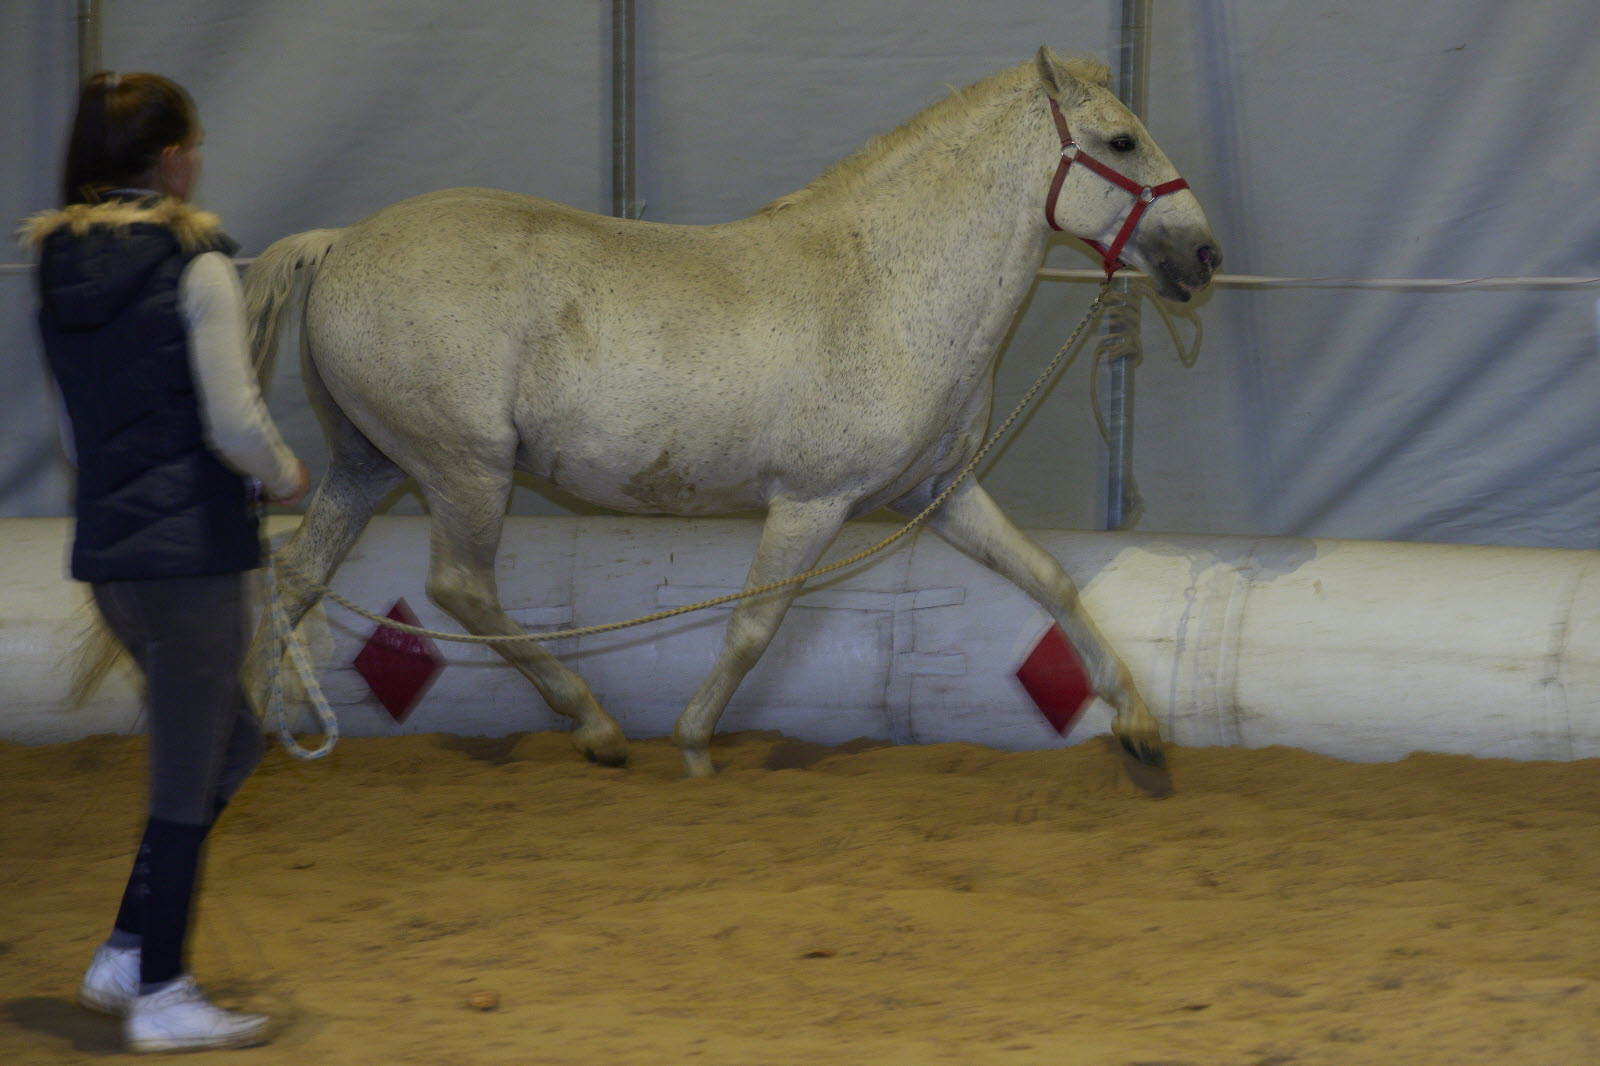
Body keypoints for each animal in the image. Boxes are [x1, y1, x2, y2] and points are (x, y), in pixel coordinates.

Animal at [243, 47, 1216, 771]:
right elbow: (755, 625)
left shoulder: (936, 492)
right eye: (1121, 141)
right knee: (458, 588)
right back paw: (596, 728)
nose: (1204, 256)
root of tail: (339, 241)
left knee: (297, 574)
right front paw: (694, 742)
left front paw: (1138, 726)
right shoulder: (813, 503)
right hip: (465, 470)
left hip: (369, 464)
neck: (885, 287)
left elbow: (1050, 579)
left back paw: (255, 725)